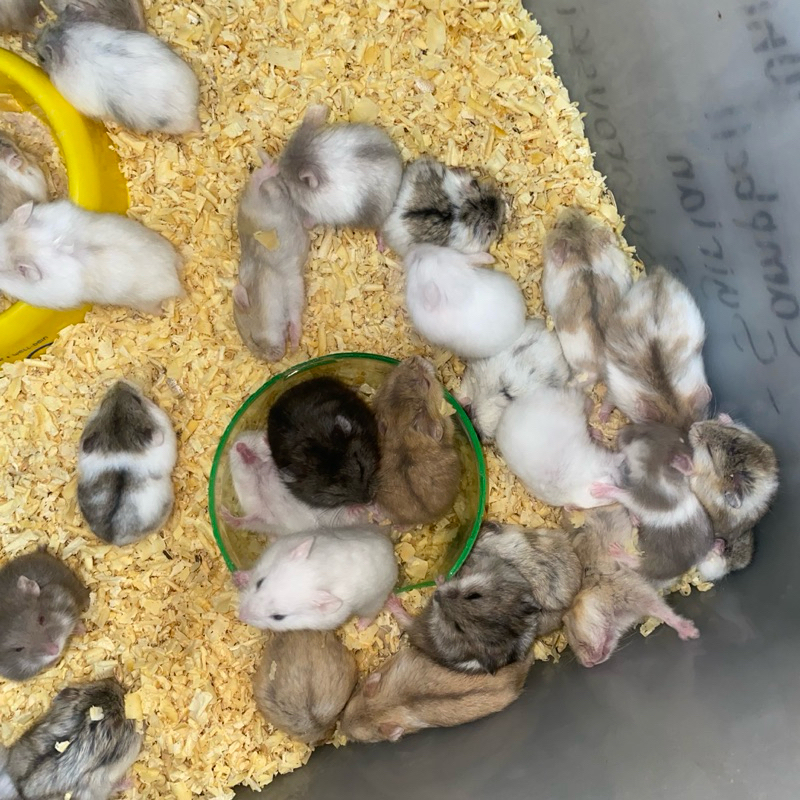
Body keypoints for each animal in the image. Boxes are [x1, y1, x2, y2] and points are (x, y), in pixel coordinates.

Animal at [222, 431, 366, 535]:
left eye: (256, 435)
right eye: (232, 450)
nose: (239, 446)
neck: (261, 476)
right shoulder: (265, 516)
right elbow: (250, 521)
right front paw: (223, 513)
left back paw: (358, 508)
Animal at [234, 154, 310, 362]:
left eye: (254, 339)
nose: (277, 358)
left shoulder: (289, 284)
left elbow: (295, 316)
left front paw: (294, 345)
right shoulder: (294, 286)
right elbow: (293, 317)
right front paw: (294, 345)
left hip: (251, 205)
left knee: (256, 182)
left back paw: (269, 166)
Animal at [236, 527, 398, 631]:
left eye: (278, 617)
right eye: (259, 583)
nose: (241, 616)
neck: (319, 572)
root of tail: (389, 546)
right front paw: (238, 576)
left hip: (375, 600)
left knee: (371, 614)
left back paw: (360, 627)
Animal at [391, 546, 539, 674]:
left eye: (457, 627)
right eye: (474, 595)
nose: (436, 595)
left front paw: (439, 578)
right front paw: (449, 575)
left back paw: (392, 599)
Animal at [590, 422, 714, 583]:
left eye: (645, 435)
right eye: (648, 425)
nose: (620, 432)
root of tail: (684, 568)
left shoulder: (644, 498)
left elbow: (622, 494)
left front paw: (597, 489)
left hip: (661, 559)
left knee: (643, 567)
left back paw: (617, 551)